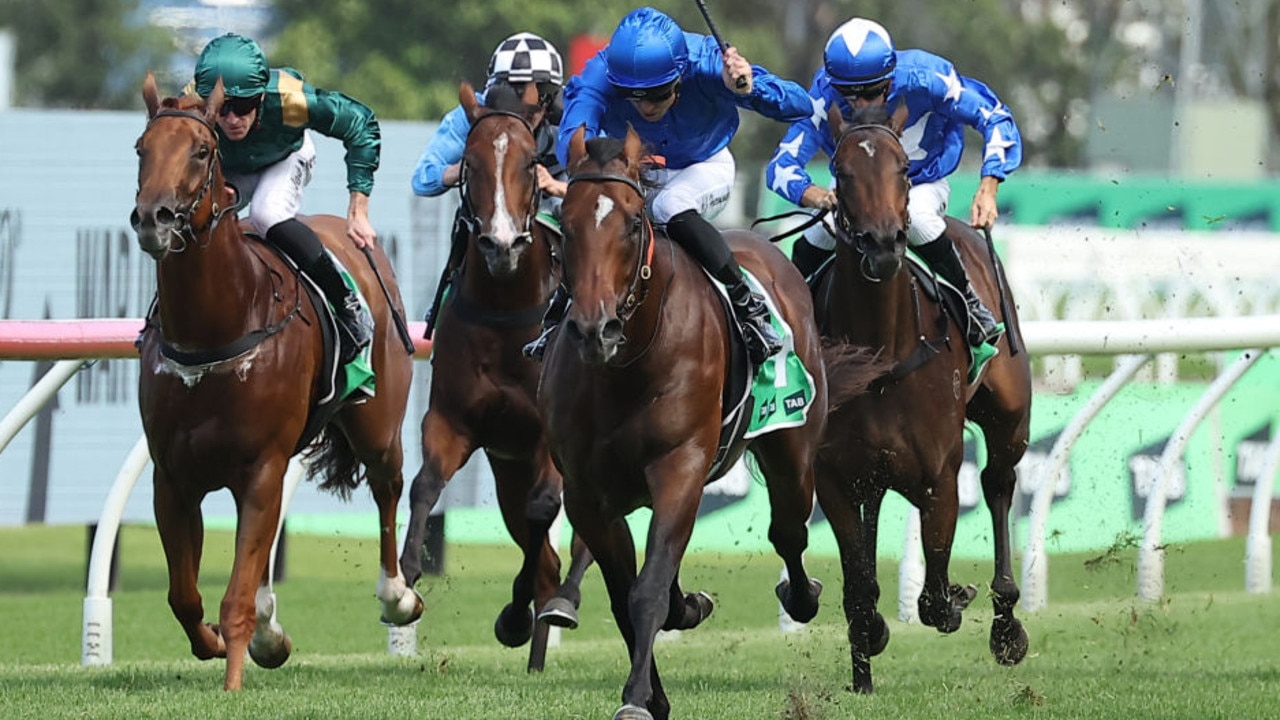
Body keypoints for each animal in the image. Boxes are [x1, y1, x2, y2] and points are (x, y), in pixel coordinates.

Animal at [135, 74, 424, 691]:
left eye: (201, 150)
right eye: (141, 149)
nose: (154, 219)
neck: (216, 325)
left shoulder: (261, 467)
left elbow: (235, 596)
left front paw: (233, 681)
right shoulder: (173, 477)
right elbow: (184, 596)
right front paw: (219, 644)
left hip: (378, 422)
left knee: (388, 486)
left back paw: (398, 597)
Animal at [396, 81, 591, 671]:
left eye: (530, 163)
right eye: (471, 163)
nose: (501, 245)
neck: (508, 309)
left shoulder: (553, 442)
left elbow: (544, 513)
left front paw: (515, 614)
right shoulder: (455, 420)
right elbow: (425, 483)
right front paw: (404, 579)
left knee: (569, 545)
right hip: (508, 469)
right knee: (538, 544)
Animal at [814, 103, 1034, 691]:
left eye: (904, 171)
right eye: (841, 172)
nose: (883, 244)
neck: (883, 355)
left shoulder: (940, 474)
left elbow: (936, 594)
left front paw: (957, 596)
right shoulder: (835, 479)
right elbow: (857, 585)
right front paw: (864, 659)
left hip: (1010, 417)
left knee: (998, 483)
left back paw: (1007, 623)